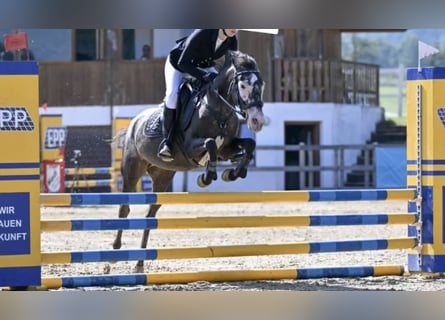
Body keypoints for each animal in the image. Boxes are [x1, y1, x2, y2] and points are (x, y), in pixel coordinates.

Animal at [112, 50, 264, 272]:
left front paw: (233, 173)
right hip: (132, 169)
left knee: (150, 215)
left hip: (163, 177)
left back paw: (140, 263)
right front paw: (207, 177)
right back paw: (114, 253)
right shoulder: (191, 147)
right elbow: (210, 143)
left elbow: (248, 146)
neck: (219, 111)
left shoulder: (226, 148)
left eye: (261, 84)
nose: (257, 121)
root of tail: (135, 121)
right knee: (124, 207)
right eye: (243, 86)